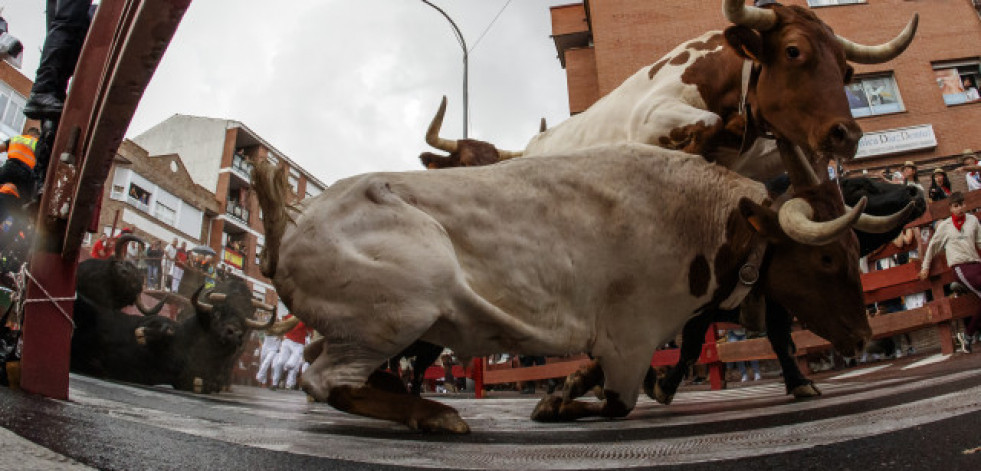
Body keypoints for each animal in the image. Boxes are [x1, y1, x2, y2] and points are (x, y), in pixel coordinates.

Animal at [255, 145, 872, 436]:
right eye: (825, 257)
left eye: (853, 251)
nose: (864, 338)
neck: (698, 215)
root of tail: (296, 223)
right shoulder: (632, 335)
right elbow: (620, 402)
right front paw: (554, 402)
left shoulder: (633, 339)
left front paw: (567, 387)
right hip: (405, 304)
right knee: (325, 380)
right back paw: (434, 414)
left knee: (322, 362)